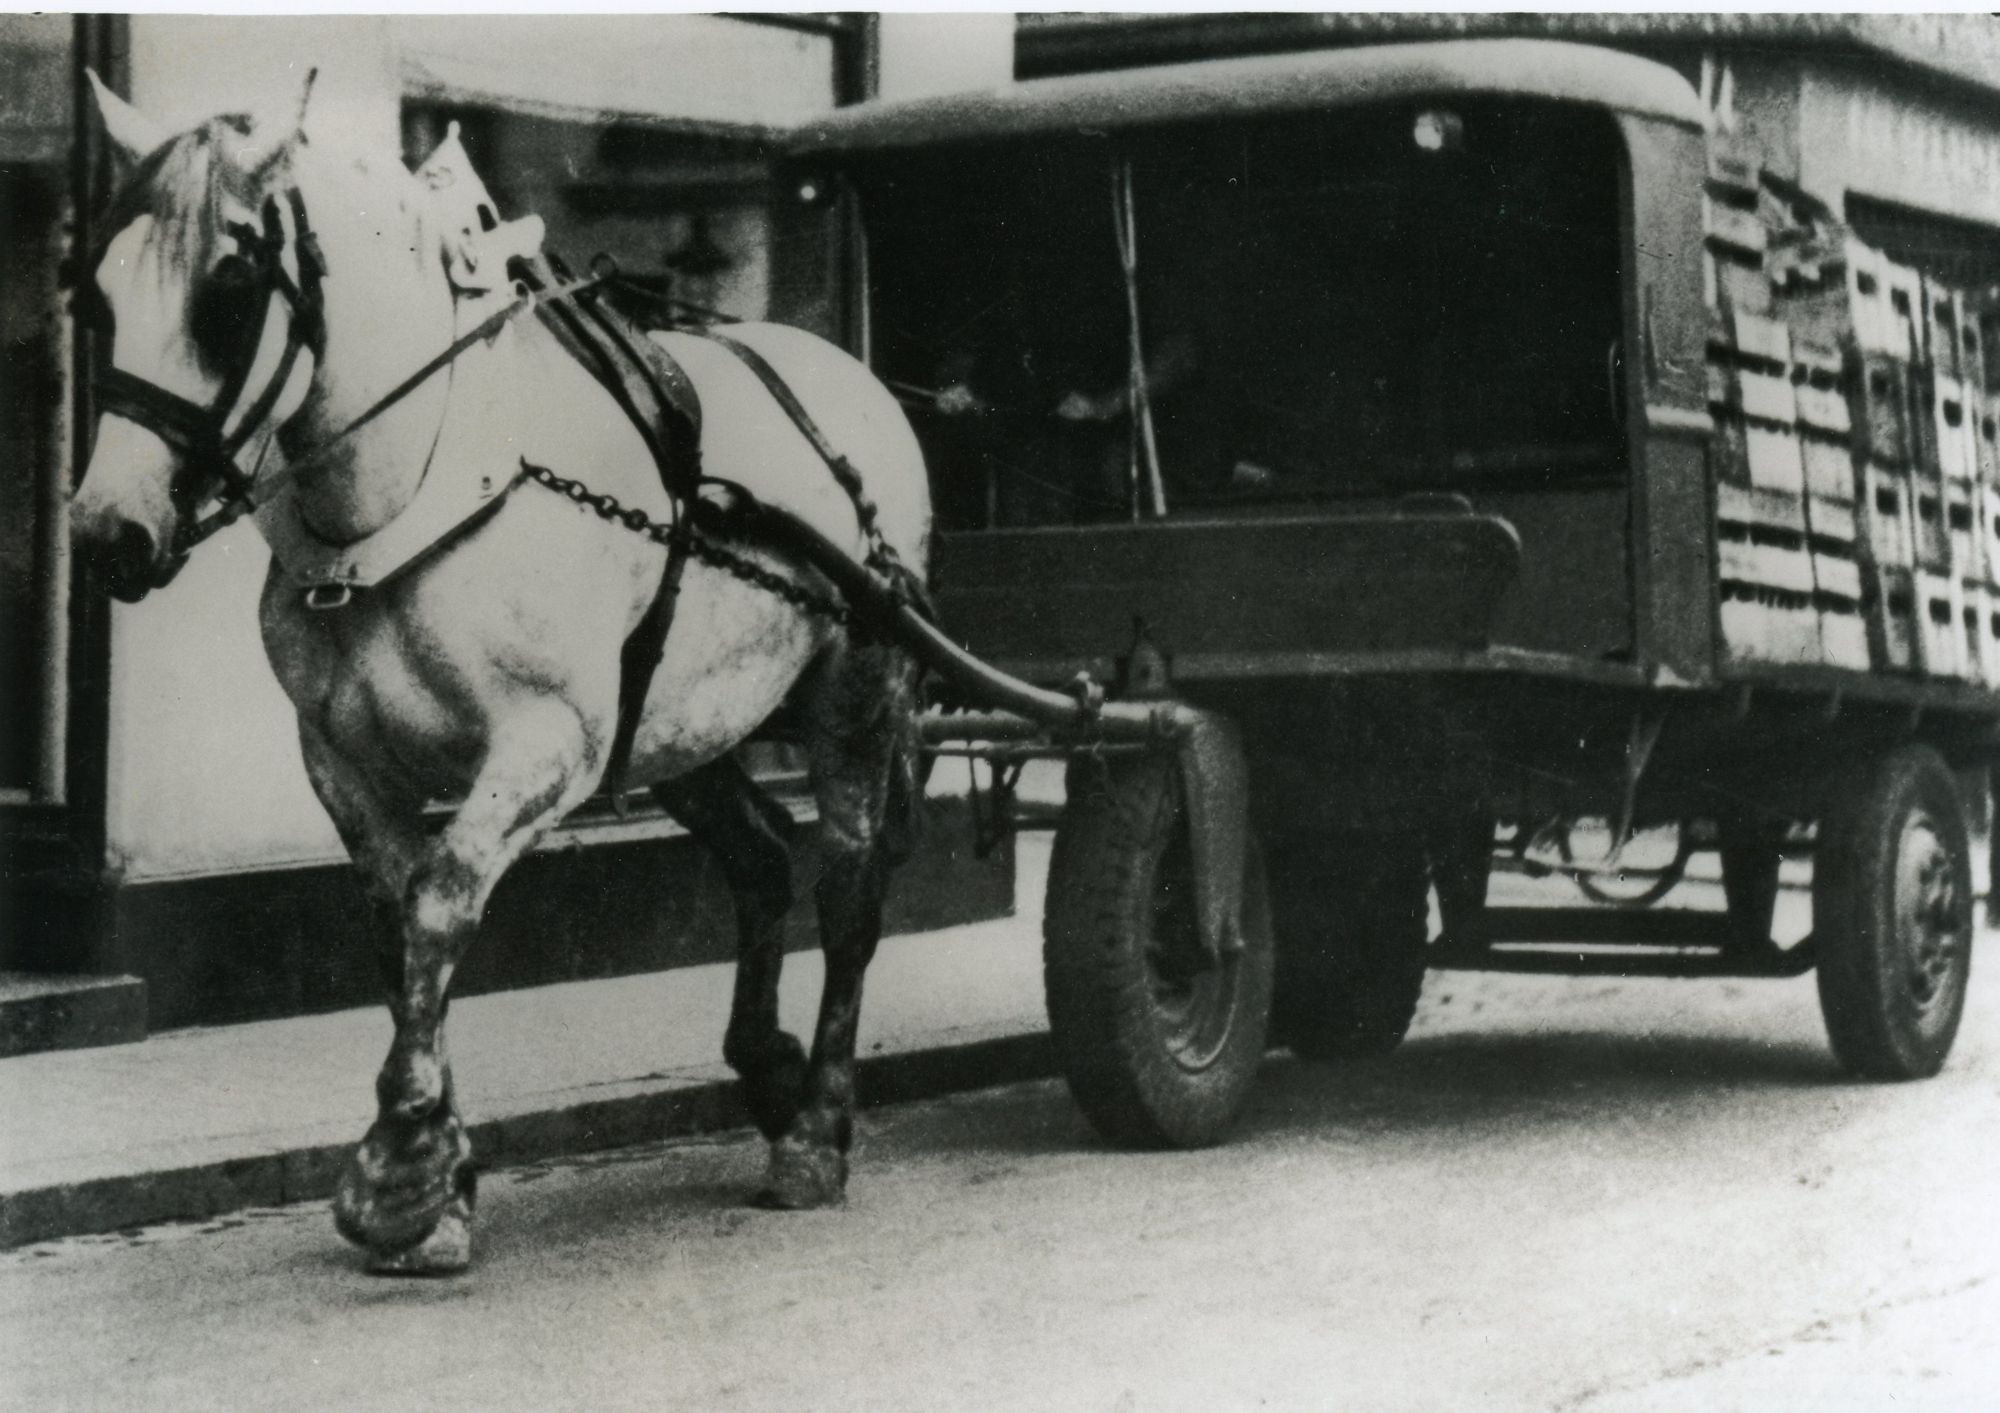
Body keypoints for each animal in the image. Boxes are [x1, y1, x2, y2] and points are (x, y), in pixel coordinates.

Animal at [69, 76, 932, 1275]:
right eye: (96, 295)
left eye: (229, 293)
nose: (108, 533)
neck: (403, 497)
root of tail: (851, 378)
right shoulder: (343, 766)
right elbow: (401, 942)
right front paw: (446, 1180)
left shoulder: (544, 745)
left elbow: (442, 906)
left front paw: (400, 1169)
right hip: (679, 722)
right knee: (761, 858)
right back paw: (767, 1065)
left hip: (857, 693)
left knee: (848, 891)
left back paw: (814, 1129)